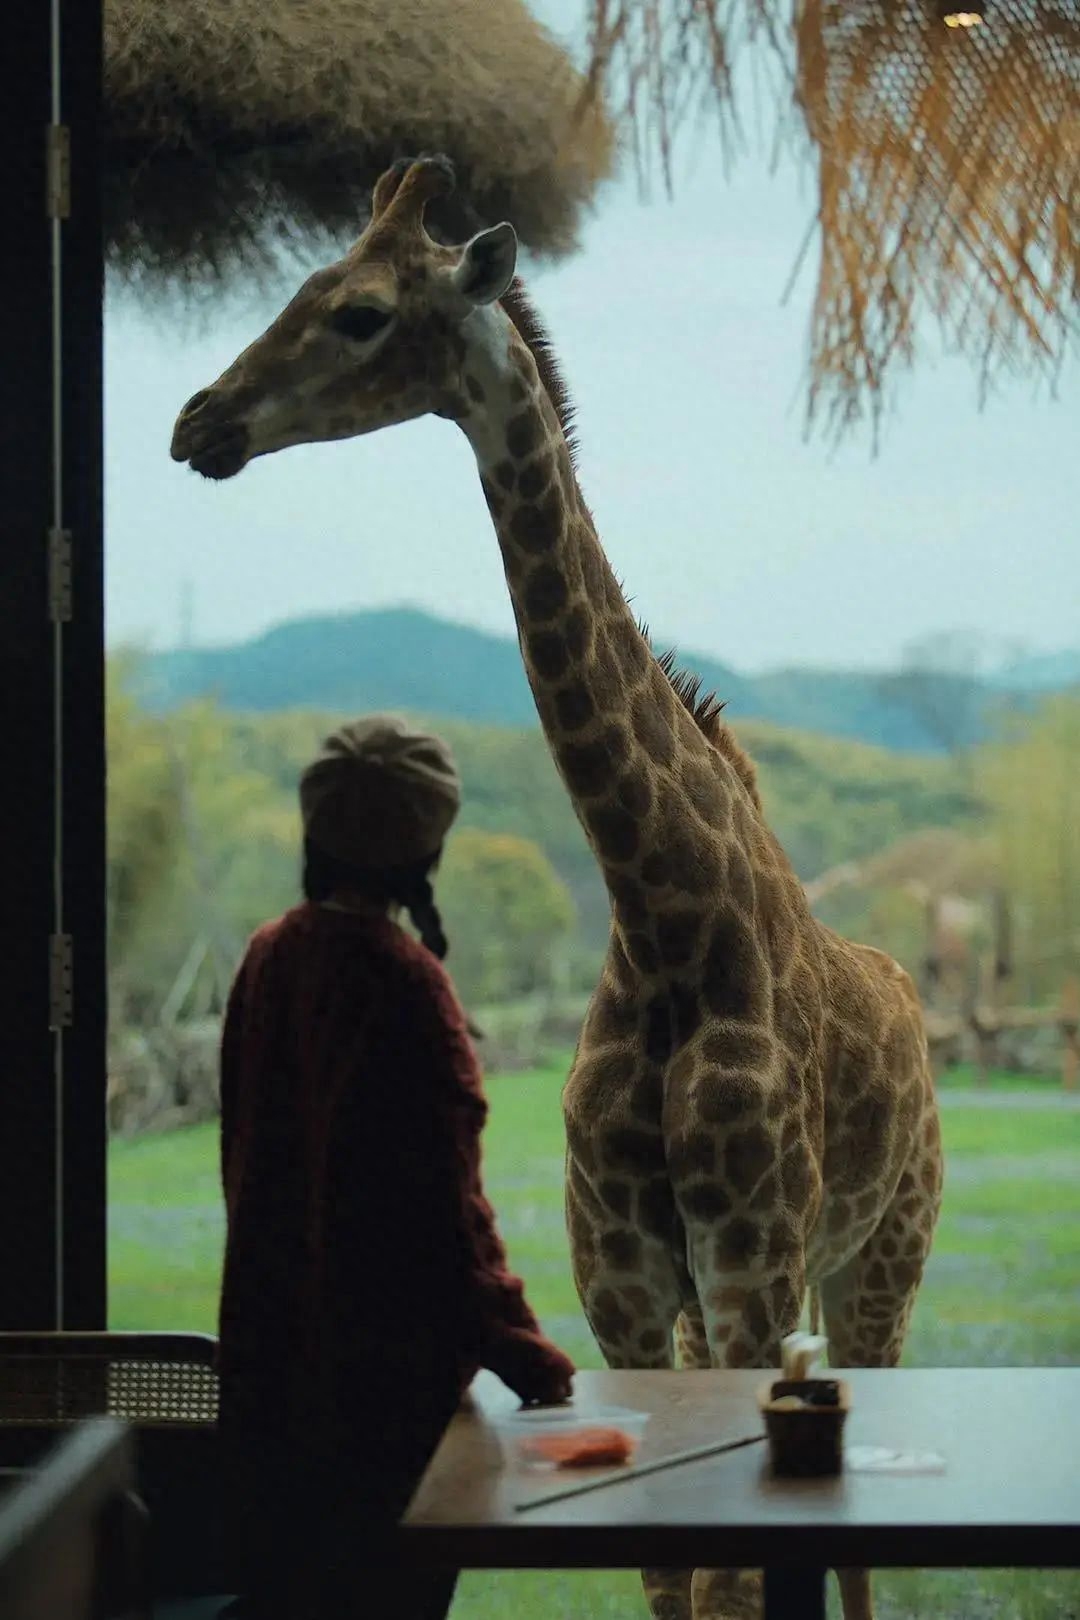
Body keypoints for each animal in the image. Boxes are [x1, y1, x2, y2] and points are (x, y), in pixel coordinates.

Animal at [173, 154, 939, 1620]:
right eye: (300, 283)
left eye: (359, 312)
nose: (199, 422)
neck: (666, 916)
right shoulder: (630, 1286)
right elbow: (673, 1568)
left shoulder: (754, 1269)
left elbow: (734, 1573)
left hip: (879, 1261)